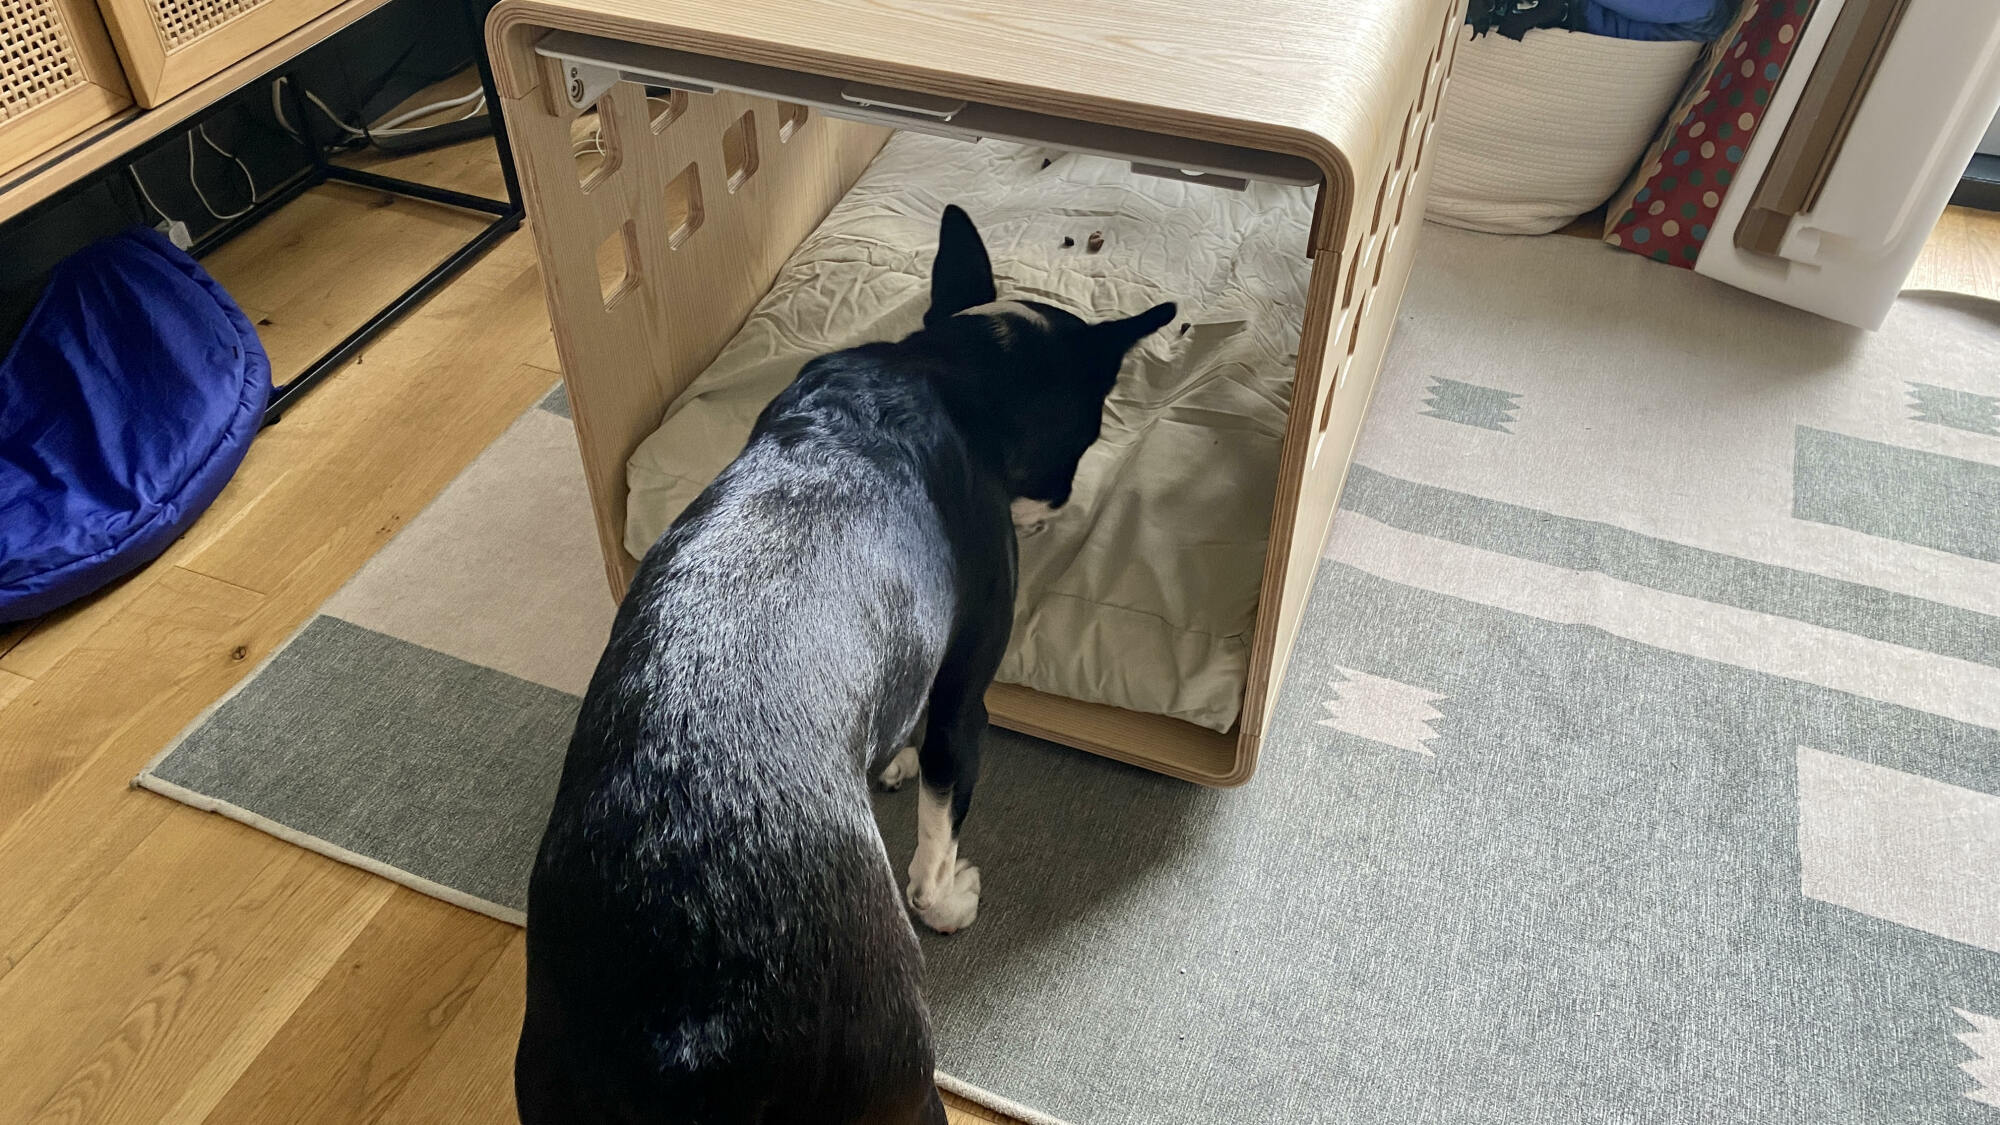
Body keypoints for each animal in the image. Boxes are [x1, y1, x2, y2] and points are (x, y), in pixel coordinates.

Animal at [520, 203, 1168, 1120]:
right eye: (1086, 435)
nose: (1064, 499)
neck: (945, 372)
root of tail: (685, 1034)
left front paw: (888, 760)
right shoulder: (965, 693)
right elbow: (938, 821)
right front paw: (948, 892)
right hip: (891, 1066)